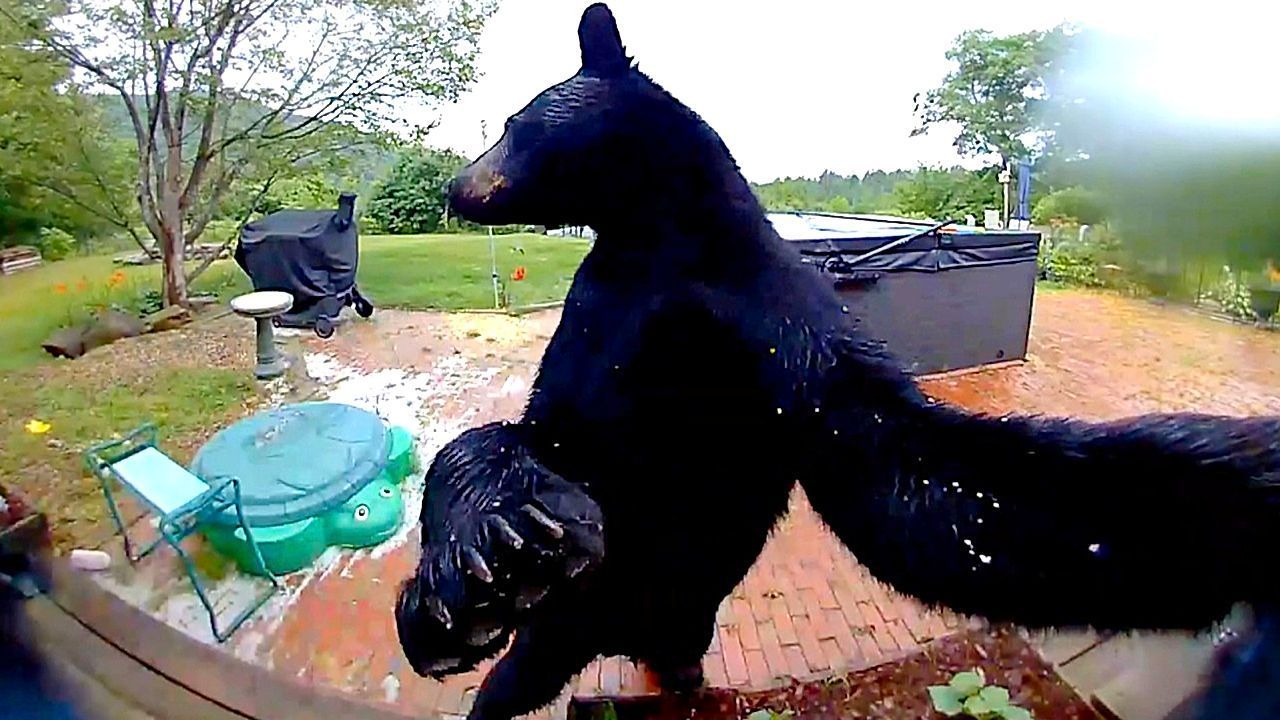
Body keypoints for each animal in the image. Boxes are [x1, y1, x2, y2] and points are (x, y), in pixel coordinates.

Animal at [395, 5, 1280, 719]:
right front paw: (504, 532)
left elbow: (927, 482)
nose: (451, 185)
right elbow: (535, 434)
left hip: (633, 607)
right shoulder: (601, 315)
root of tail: (626, 634)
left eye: (513, 122)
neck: (659, 245)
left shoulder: (785, 335)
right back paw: (449, 618)